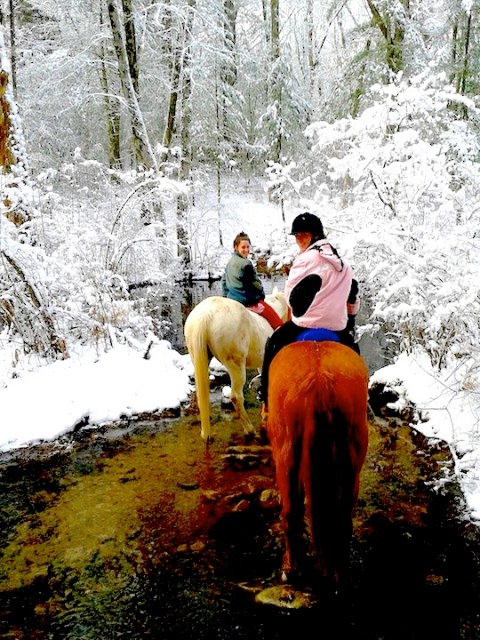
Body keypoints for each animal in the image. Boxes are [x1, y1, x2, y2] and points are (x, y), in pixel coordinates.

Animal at [266, 342, 368, 592]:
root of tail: (318, 380)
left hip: (286, 459)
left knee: (291, 515)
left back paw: (291, 568)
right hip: (349, 465)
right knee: (342, 520)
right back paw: (340, 574)